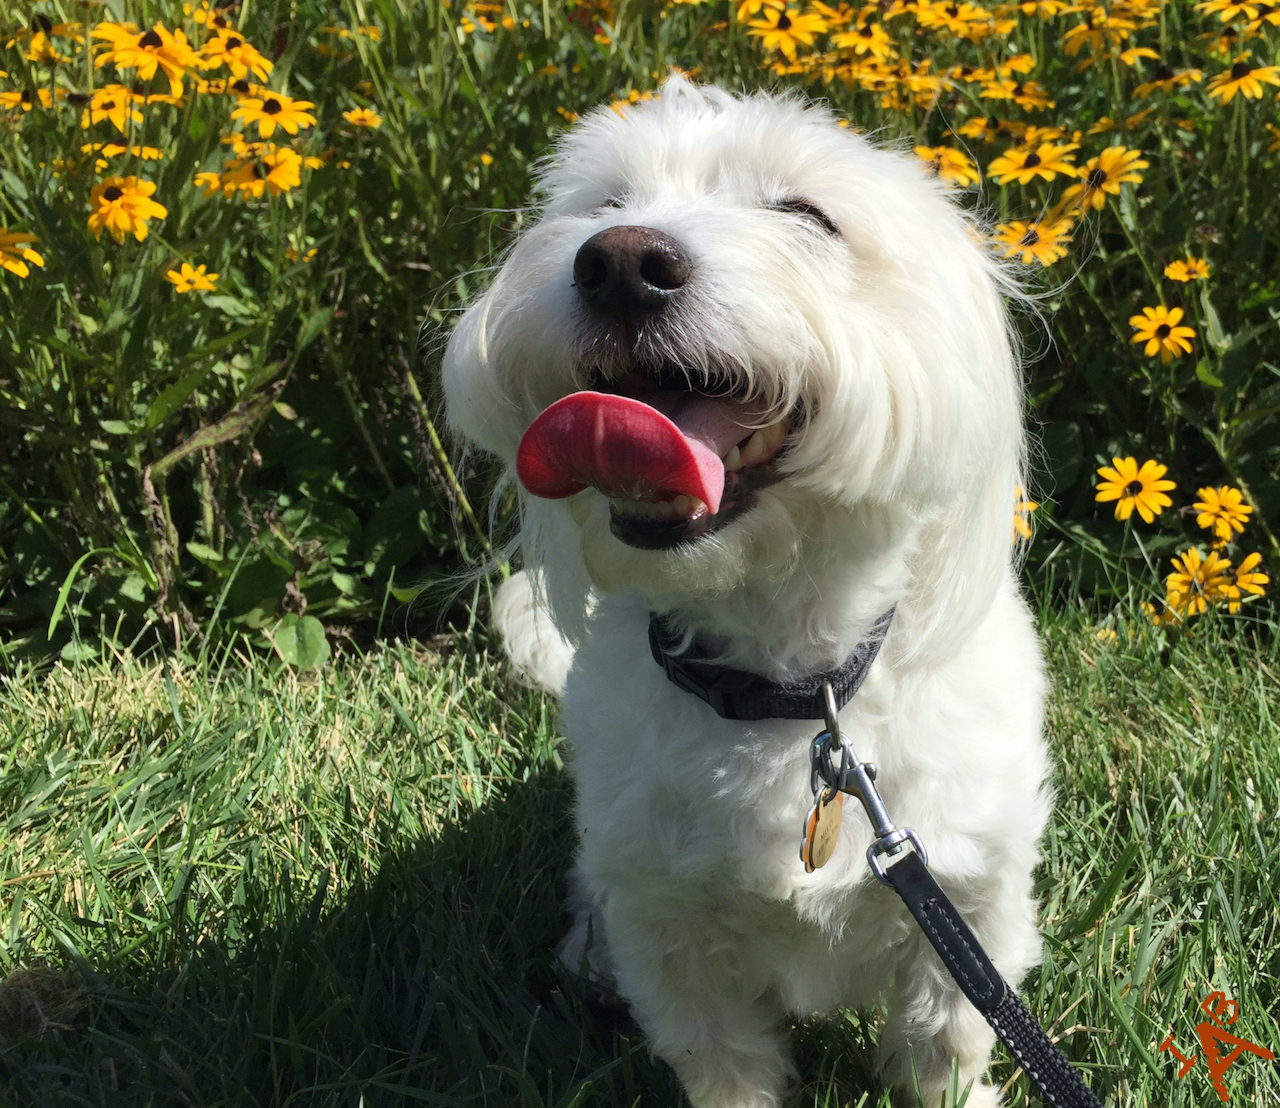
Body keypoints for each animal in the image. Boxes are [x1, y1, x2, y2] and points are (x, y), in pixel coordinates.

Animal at [440, 79, 1049, 1105]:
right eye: (604, 204)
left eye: (806, 215)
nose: (620, 261)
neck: (786, 695)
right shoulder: (669, 930)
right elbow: (720, 1059)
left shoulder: (967, 899)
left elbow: (947, 1042)